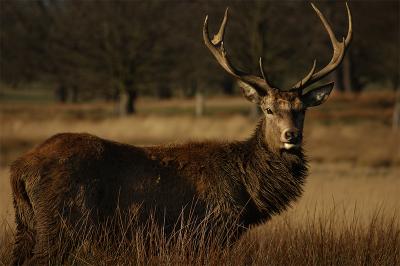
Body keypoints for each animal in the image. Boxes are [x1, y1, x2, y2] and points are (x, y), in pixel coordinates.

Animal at [10, 3, 354, 264]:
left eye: (302, 109)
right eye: (268, 109)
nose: (291, 135)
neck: (247, 193)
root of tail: (19, 168)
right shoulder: (208, 231)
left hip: (25, 225)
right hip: (61, 223)